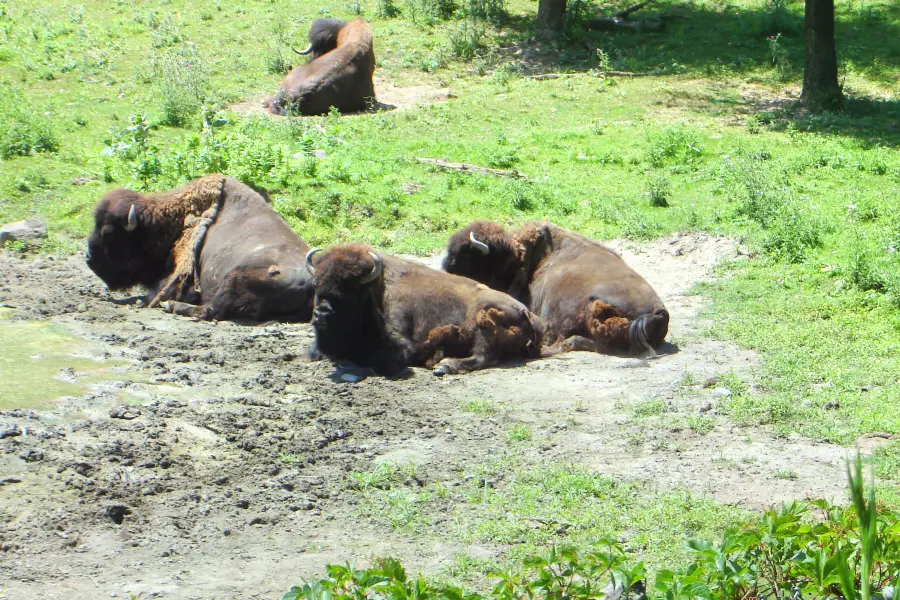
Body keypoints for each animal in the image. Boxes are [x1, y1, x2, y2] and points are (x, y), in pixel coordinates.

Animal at [85, 173, 316, 324]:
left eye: (108, 232)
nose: (88, 259)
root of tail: (312, 281)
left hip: (234, 277)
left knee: (211, 310)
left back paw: (171, 306)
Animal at [302, 244, 540, 376]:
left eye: (351, 288)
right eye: (316, 285)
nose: (322, 314)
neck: (375, 288)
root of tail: (525, 312)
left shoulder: (402, 345)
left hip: (483, 320)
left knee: (484, 357)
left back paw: (445, 365)